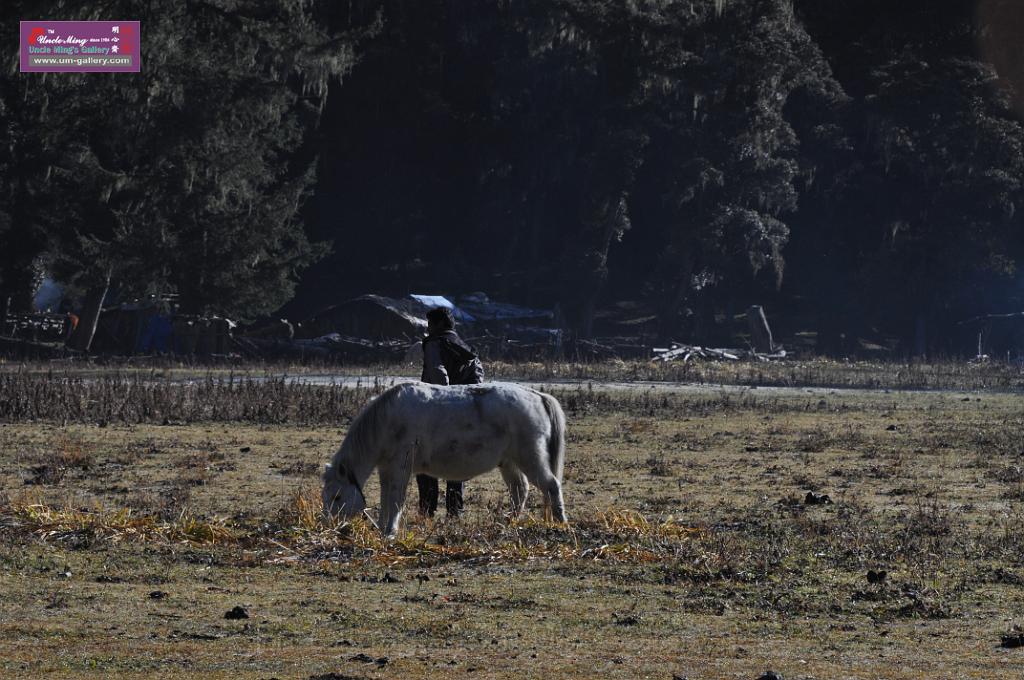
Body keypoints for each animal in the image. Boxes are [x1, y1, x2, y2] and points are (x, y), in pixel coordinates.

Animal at [323, 383, 569, 536]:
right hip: (509, 462)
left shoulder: (400, 467)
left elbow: (395, 500)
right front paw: (384, 528)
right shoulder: (387, 469)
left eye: (337, 496)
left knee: (551, 486)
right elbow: (386, 499)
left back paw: (561, 524)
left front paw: (389, 532)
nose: (330, 526)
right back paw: (507, 522)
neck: (386, 421)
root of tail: (537, 396)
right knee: (520, 490)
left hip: (529, 457)